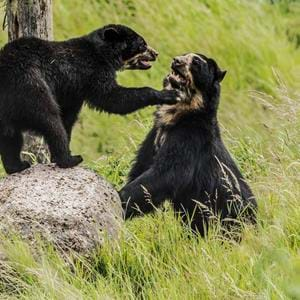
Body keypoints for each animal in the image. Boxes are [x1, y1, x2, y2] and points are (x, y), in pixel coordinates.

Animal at [0, 24, 180, 175]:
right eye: (142, 44)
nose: (155, 53)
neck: (103, 53)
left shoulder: (72, 91)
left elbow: (69, 116)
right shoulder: (91, 72)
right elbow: (112, 98)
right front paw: (167, 94)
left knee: (10, 138)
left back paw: (17, 166)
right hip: (31, 88)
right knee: (50, 121)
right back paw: (69, 159)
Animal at [119, 53, 258, 237]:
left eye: (196, 63)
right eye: (184, 54)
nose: (176, 61)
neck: (179, 114)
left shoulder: (190, 140)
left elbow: (165, 174)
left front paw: (120, 198)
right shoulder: (154, 137)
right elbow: (141, 167)